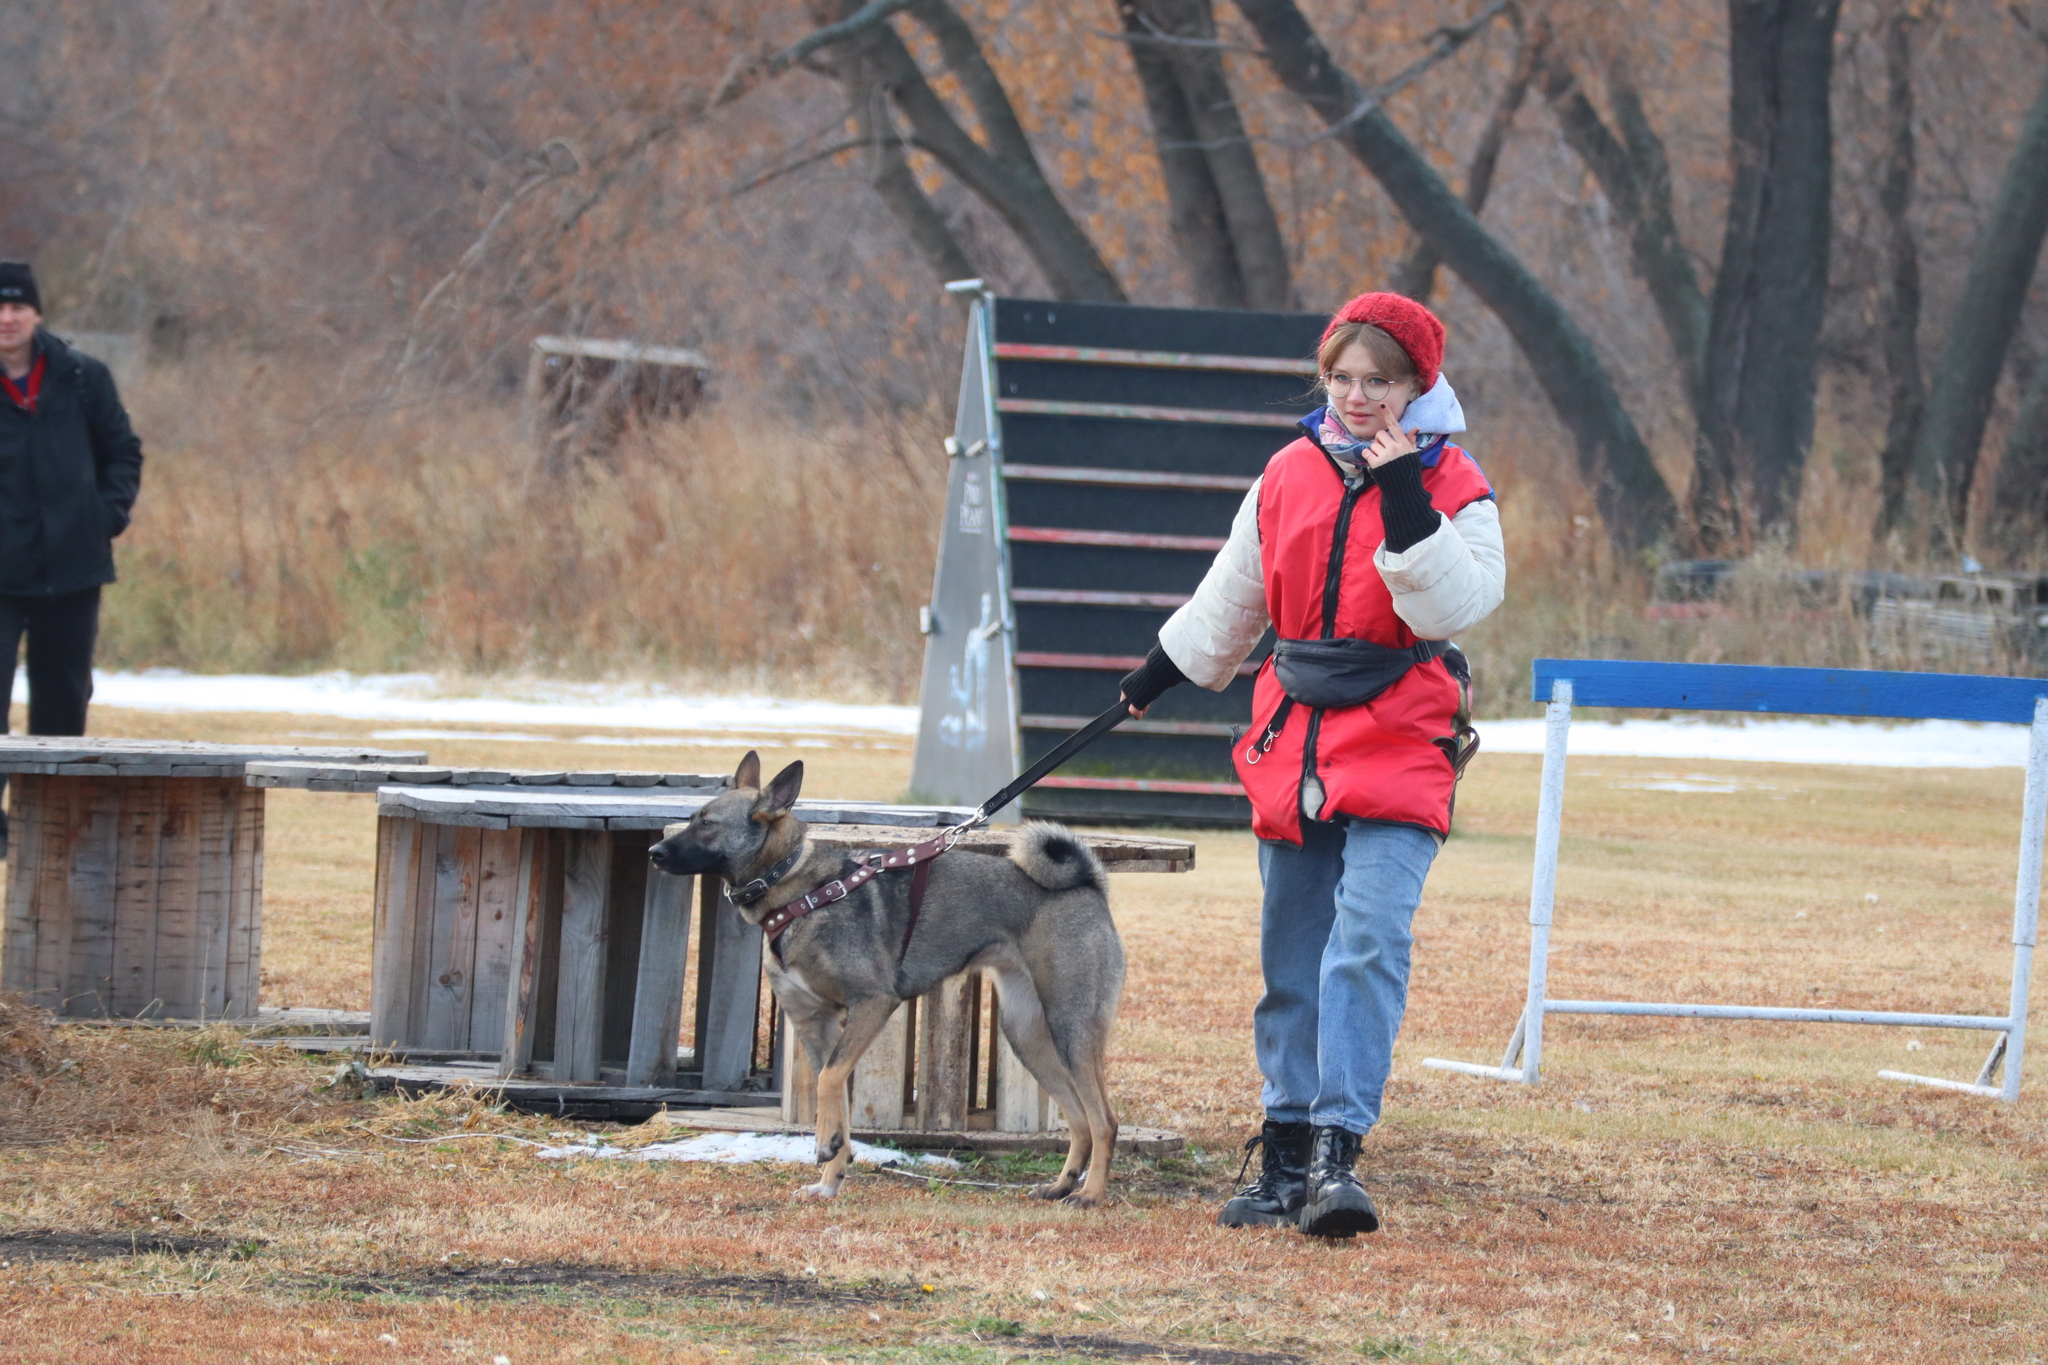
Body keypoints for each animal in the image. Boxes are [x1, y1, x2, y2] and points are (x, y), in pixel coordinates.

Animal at [647, 753, 1130, 1211]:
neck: (800, 891)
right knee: (1081, 1120)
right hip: (1026, 1036)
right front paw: (830, 1178)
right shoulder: (817, 1028)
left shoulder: (873, 1003)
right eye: (691, 818)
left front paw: (825, 1146)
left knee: (1104, 1121)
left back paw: (1090, 1194)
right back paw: (1061, 1186)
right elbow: (832, 1092)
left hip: (1069, 1027)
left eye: (707, 824)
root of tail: (1088, 885)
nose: (654, 851)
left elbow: (828, 1082)